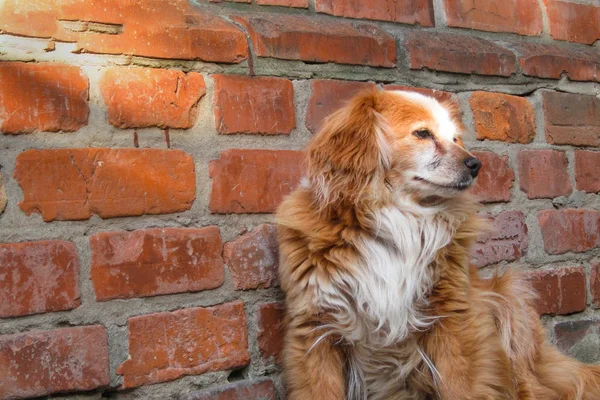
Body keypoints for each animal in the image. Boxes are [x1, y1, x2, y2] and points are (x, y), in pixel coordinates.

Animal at [274, 89, 600, 398]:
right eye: (422, 133)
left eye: (455, 138)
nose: (476, 164)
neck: (400, 218)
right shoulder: (316, 329)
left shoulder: (453, 316)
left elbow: (461, 388)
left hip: (509, 299)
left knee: (529, 385)